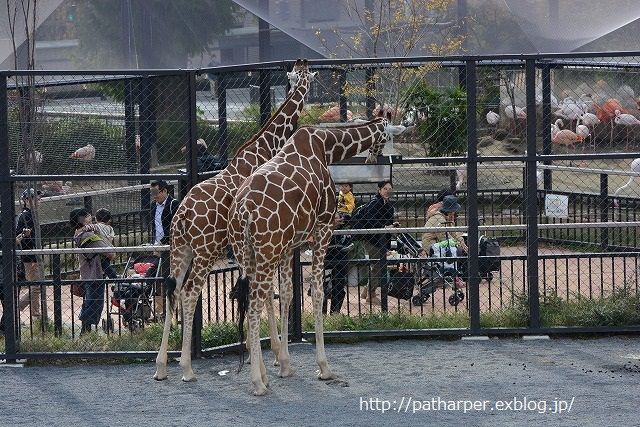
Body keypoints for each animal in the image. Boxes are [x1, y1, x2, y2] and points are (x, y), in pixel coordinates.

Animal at [153, 58, 318, 382]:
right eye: (301, 80)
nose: (302, 72)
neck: (262, 149)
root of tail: (181, 217)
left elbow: (257, 294)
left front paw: (265, 357)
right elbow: (266, 295)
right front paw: (275, 357)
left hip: (179, 249)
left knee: (172, 290)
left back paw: (162, 366)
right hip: (205, 251)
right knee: (190, 293)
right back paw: (187, 368)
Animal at [229, 116, 404, 394]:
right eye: (388, 137)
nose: (374, 160)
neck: (326, 146)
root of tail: (243, 210)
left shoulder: (290, 244)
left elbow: (288, 294)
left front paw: (286, 365)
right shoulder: (323, 228)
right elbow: (320, 292)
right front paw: (324, 368)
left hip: (247, 252)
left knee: (247, 297)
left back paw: (263, 374)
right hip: (267, 250)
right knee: (255, 304)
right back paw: (257, 381)